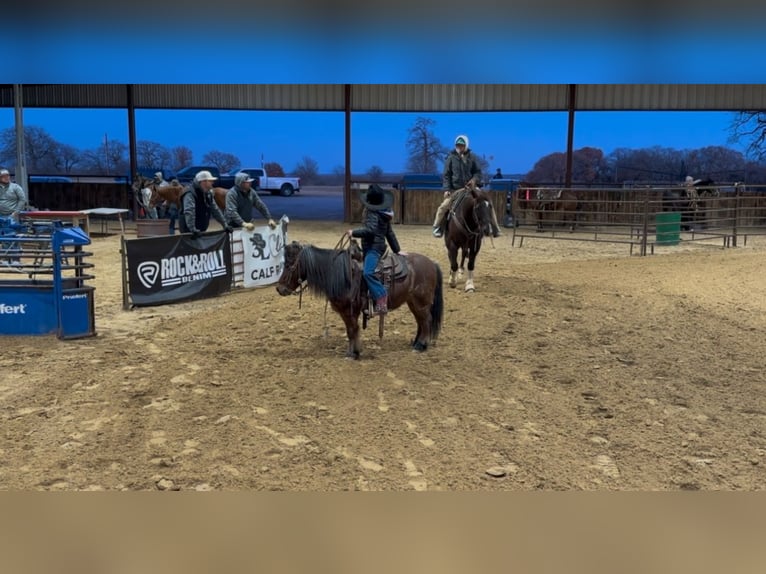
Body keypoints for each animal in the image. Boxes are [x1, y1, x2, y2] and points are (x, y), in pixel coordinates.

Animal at [276, 240, 444, 360]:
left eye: (289, 265)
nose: (279, 289)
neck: (342, 274)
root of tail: (432, 263)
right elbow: (351, 331)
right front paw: (353, 352)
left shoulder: (349, 312)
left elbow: (352, 330)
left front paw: (353, 353)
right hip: (413, 303)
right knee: (421, 322)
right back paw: (416, 343)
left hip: (421, 303)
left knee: (426, 321)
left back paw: (421, 346)